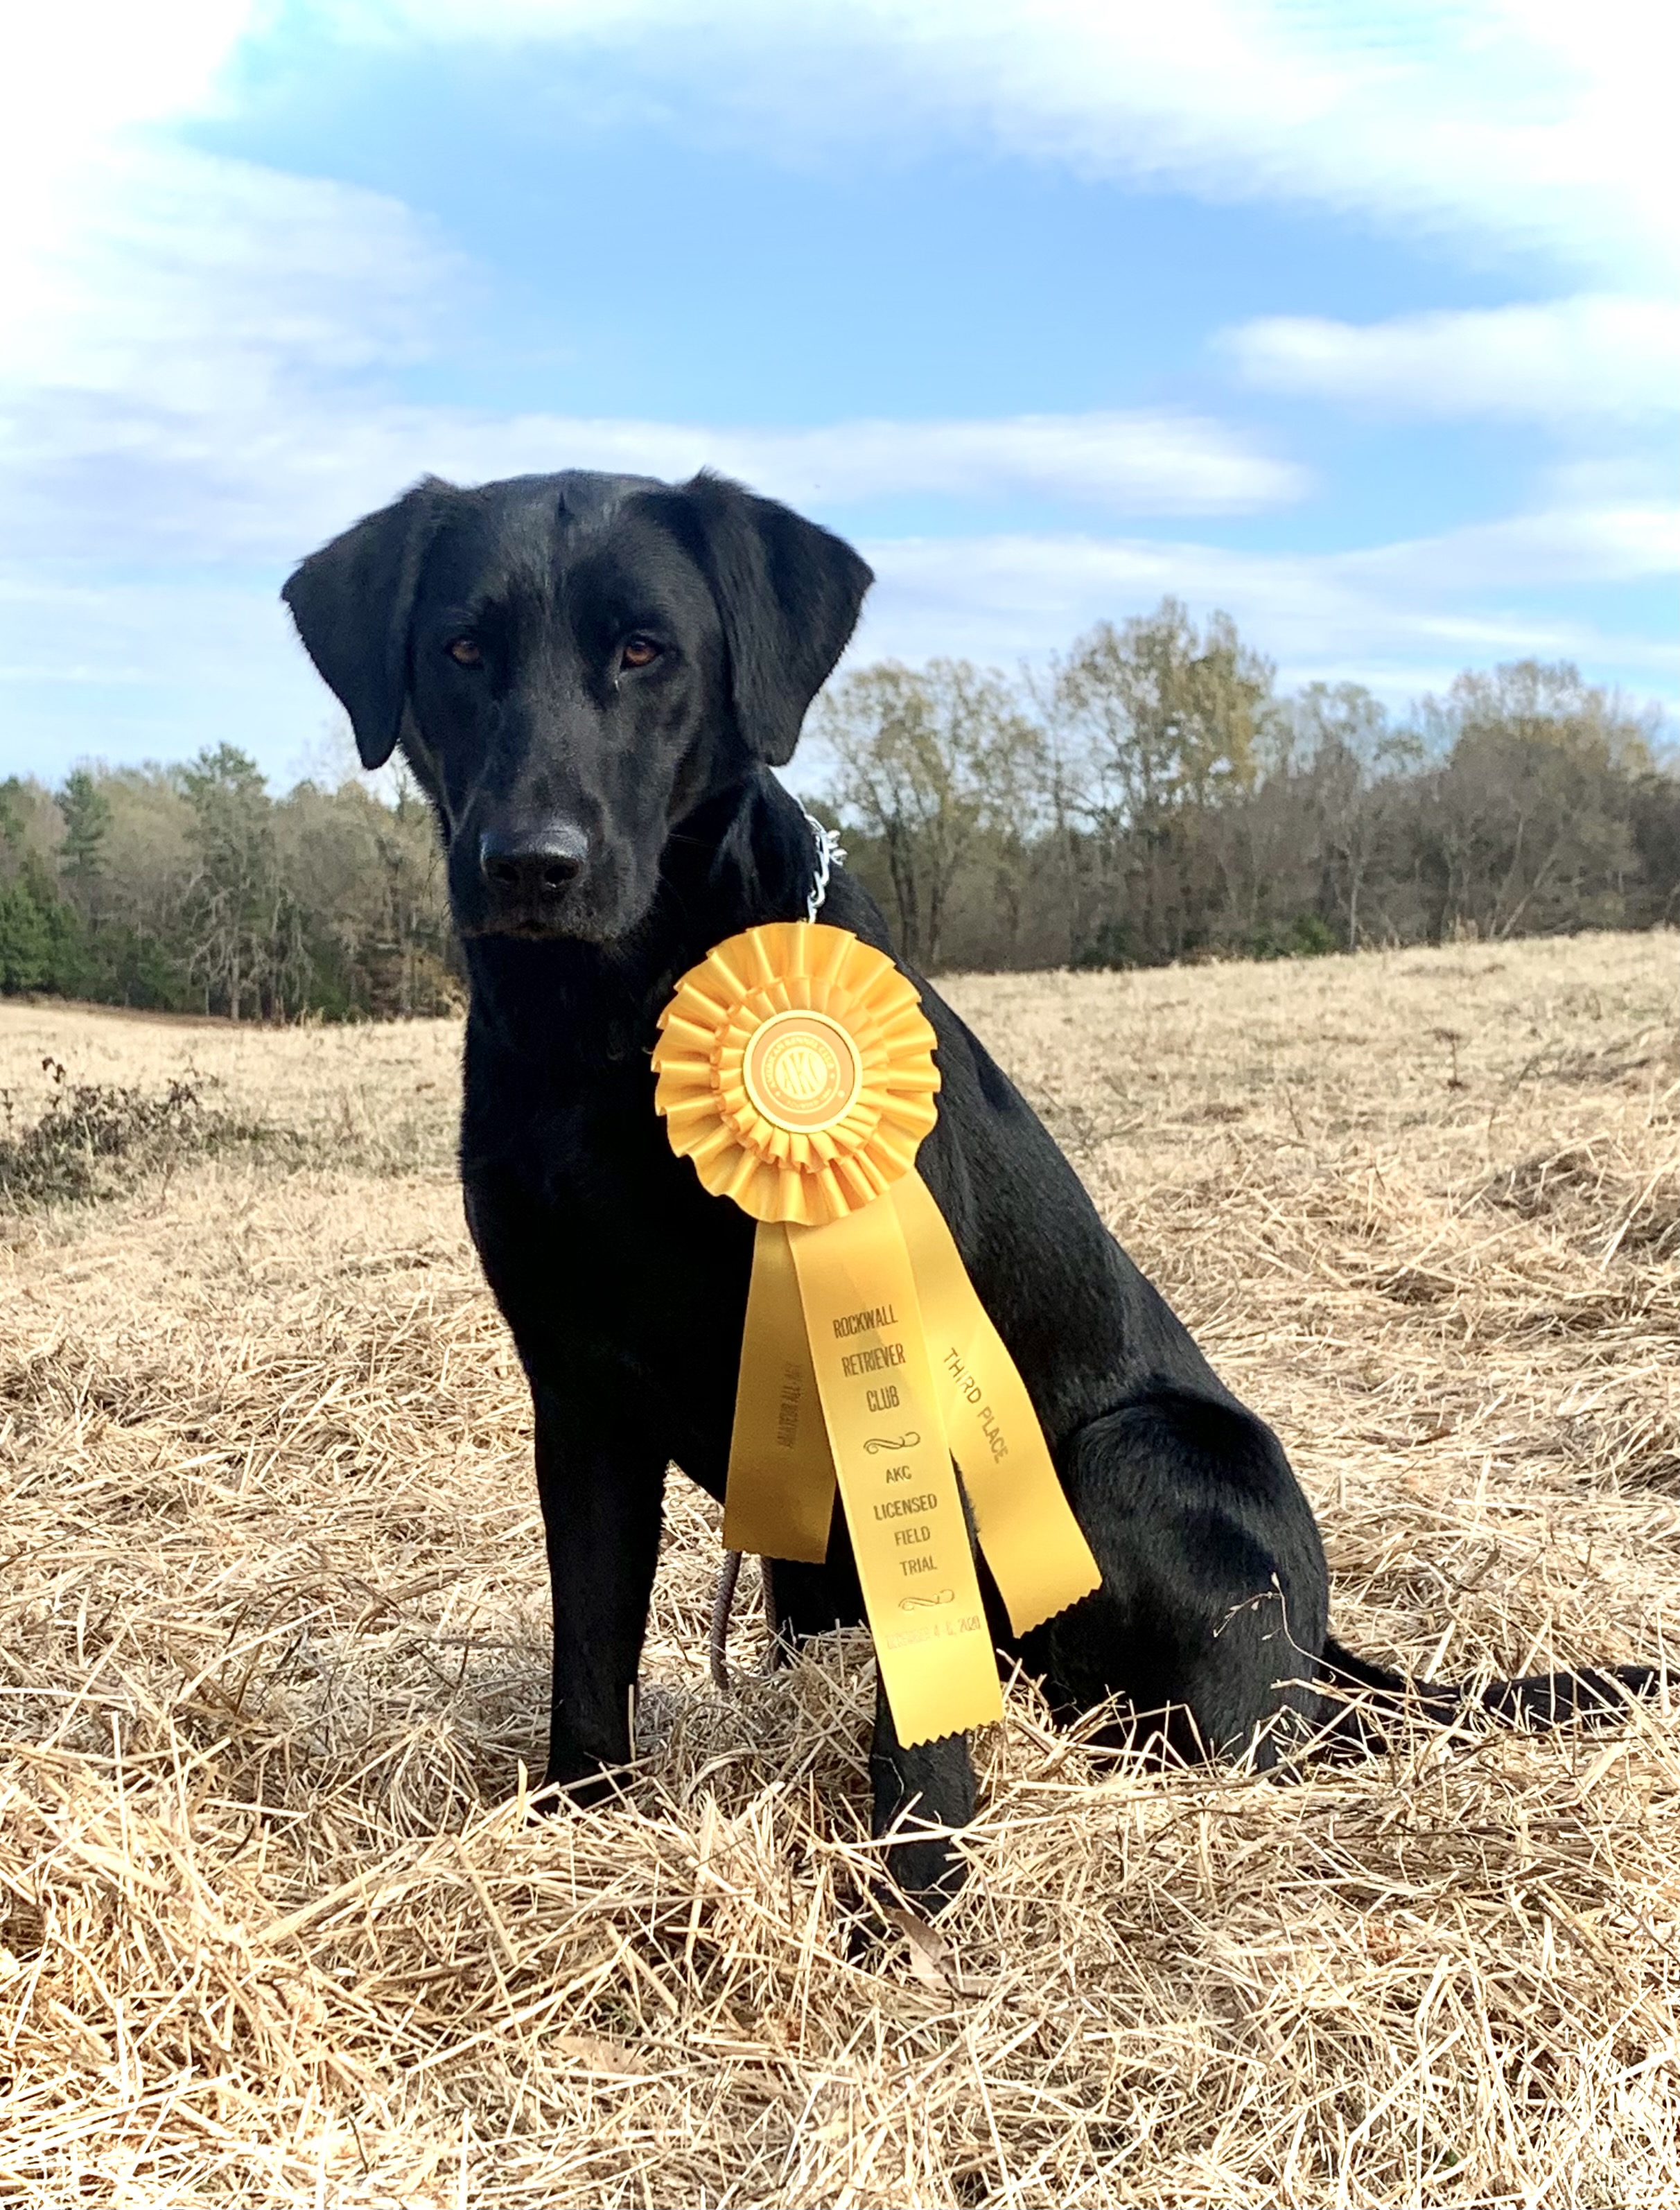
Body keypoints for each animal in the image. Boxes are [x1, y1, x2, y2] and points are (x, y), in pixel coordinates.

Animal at [285, 466, 1653, 1900]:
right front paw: (580, 1825)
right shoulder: (578, 1392)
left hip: (1132, 1453)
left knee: (1247, 1728)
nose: (530, 865)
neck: (609, 1030)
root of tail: (1317, 1641)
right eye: (460, 650)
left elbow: (914, 1701)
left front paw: (910, 1887)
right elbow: (589, 1646)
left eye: (644, 649)